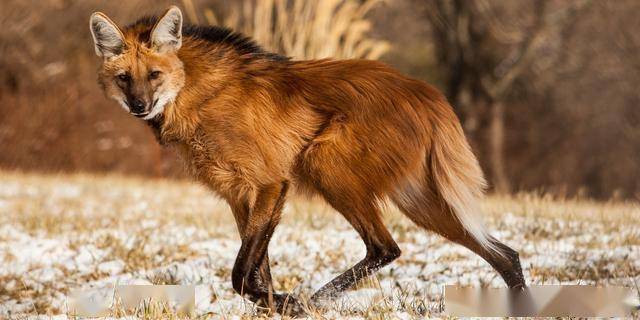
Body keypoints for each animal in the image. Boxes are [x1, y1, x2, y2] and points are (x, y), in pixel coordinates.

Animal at [91, 5, 524, 316]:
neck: (197, 94)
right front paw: (274, 305)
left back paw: (314, 300)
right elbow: (257, 271)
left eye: (154, 74)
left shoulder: (271, 182)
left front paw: (288, 303)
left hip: (326, 164)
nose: (140, 106)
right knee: (505, 254)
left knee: (385, 248)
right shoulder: (239, 194)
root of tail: (426, 92)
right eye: (125, 78)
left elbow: (242, 273)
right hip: (420, 201)